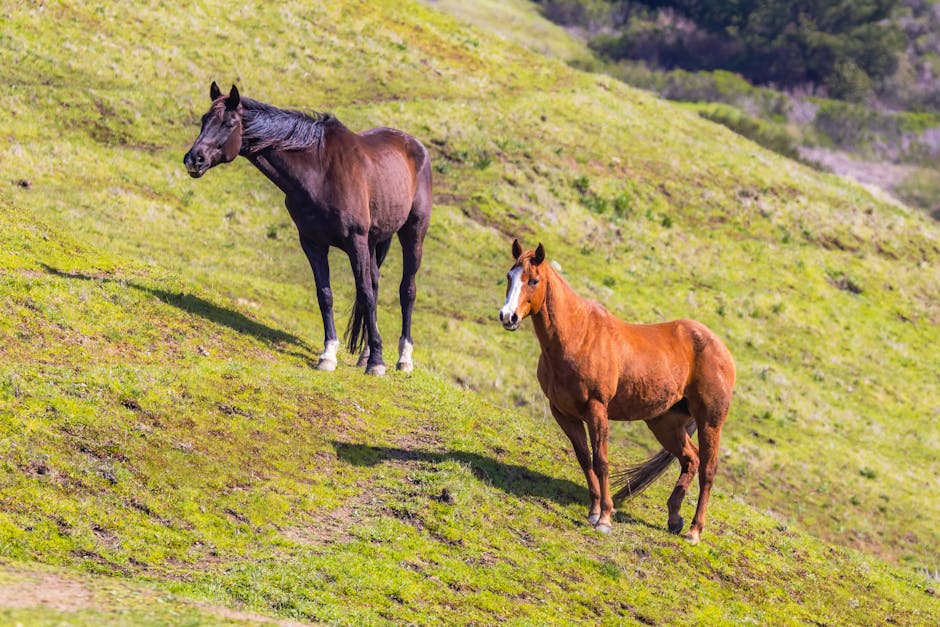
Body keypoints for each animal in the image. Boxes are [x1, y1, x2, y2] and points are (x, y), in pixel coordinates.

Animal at [184, 85, 434, 376]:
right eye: (204, 120)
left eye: (229, 123)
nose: (194, 159)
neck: (320, 173)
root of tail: (415, 146)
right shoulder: (313, 244)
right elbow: (326, 295)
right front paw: (329, 355)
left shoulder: (356, 241)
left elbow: (366, 295)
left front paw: (377, 363)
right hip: (374, 241)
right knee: (375, 283)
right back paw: (365, 354)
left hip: (412, 234)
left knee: (407, 291)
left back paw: (403, 358)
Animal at [500, 240, 736, 544]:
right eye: (510, 276)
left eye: (534, 280)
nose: (508, 317)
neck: (578, 336)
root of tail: (721, 350)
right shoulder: (563, 413)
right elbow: (584, 458)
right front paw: (593, 511)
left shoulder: (597, 409)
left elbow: (601, 460)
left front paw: (605, 518)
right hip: (665, 423)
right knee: (690, 459)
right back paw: (674, 518)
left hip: (710, 422)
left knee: (707, 468)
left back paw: (694, 531)